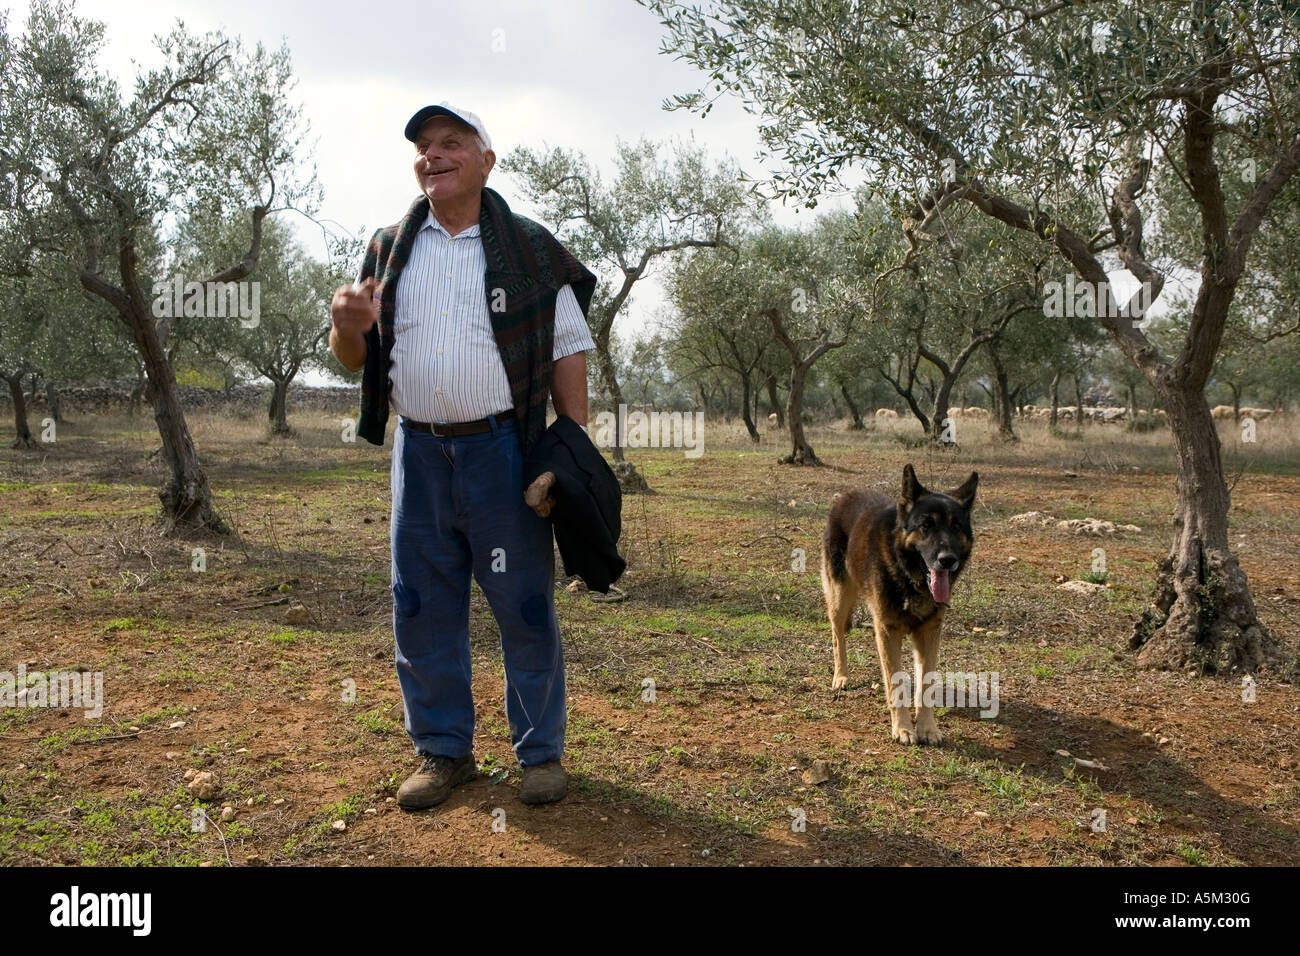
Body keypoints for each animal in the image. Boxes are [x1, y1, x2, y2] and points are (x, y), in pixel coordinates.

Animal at [821, 468, 977, 743]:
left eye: (956, 526)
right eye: (925, 526)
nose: (947, 560)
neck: (908, 575)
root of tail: (847, 495)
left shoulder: (929, 632)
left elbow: (926, 682)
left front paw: (927, 728)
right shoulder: (888, 630)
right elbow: (894, 682)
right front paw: (903, 728)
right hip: (840, 597)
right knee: (837, 635)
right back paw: (841, 676)